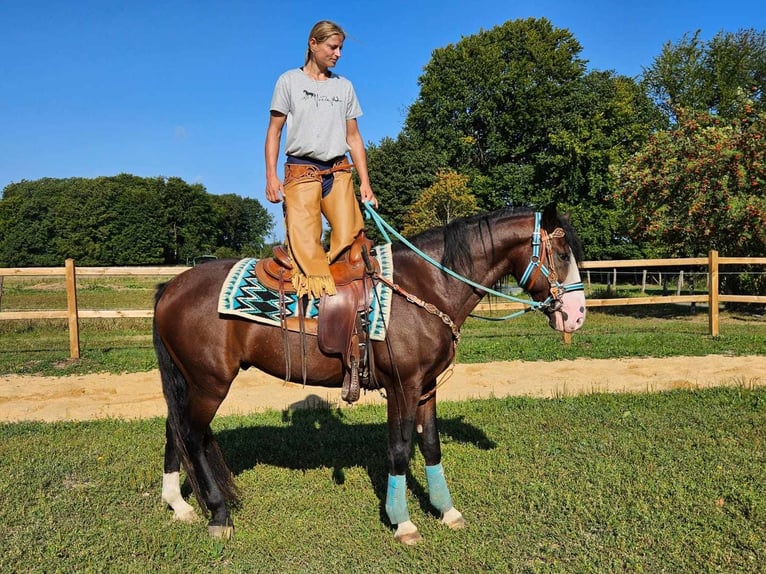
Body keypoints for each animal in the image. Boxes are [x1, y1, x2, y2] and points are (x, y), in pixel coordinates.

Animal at [154, 205, 588, 548]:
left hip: (190, 382)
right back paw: (218, 515)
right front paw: (403, 523)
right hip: (210, 384)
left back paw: (179, 505)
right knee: (191, 435)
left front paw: (446, 511)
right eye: (562, 252)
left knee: (174, 429)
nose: (577, 316)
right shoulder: (403, 387)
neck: (426, 286)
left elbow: (430, 446)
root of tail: (170, 287)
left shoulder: (426, 387)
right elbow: (398, 451)